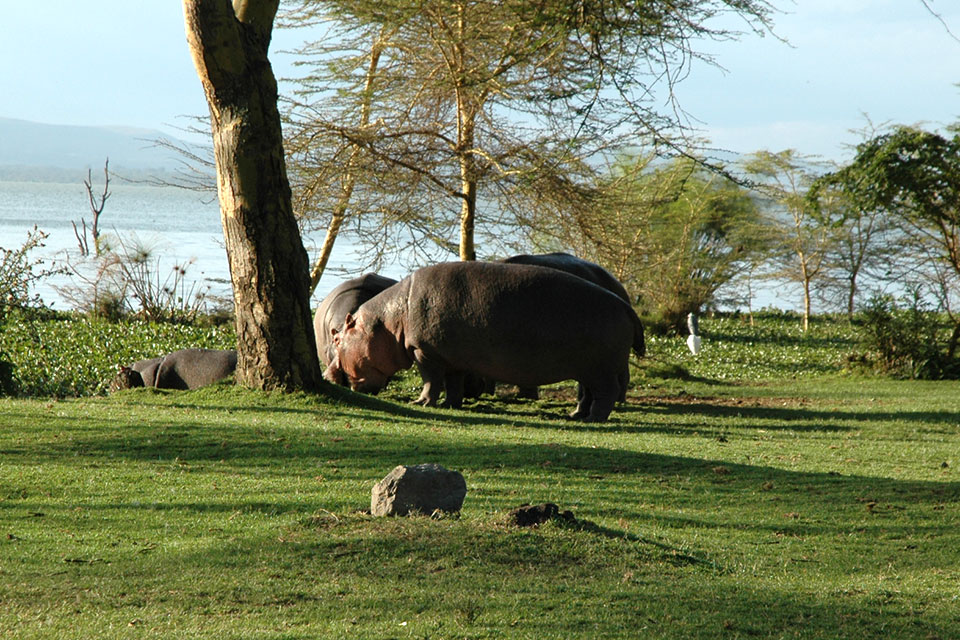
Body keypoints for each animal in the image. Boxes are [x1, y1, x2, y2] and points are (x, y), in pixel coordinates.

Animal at [322, 260, 644, 420]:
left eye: (337, 338)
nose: (327, 375)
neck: (389, 321)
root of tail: (627, 306)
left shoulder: (425, 353)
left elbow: (431, 381)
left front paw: (422, 402)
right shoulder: (450, 357)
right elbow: (452, 383)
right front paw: (451, 405)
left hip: (600, 368)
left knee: (606, 393)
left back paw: (593, 419)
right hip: (588, 368)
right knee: (588, 393)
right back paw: (576, 415)